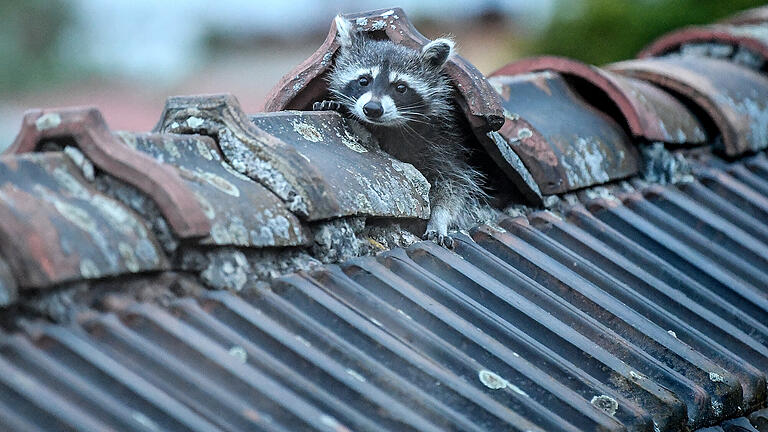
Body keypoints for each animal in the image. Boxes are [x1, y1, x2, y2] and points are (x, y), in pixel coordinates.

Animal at [314, 16, 488, 246]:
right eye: (364, 80)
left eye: (401, 88)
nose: (372, 108)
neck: (388, 126)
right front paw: (334, 104)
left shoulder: (445, 142)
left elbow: (454, 185)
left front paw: (439, 218)